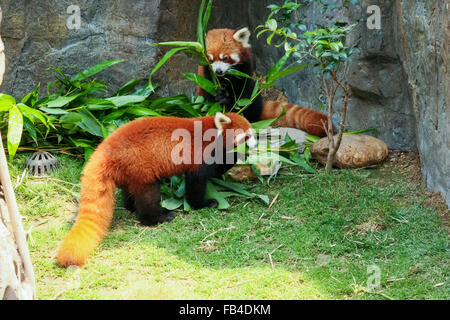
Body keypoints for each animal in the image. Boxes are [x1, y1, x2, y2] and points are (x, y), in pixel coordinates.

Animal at [55, 112, 256, 268]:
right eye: (247, 136)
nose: (254, 145)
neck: (211, 132)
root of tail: (105, 149)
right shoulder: (200, 154)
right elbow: (197, 183)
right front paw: (204, 203)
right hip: (141, 168)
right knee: (148, 197)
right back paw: (158, 217)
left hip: (127, 171)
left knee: (130, 192)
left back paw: (131, 207)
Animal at [199, 27, 332, 138]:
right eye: (210, 60)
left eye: (225, 58)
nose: (218, 71)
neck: (226, 77)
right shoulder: (207, 76)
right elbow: (211, 95)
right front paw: (221, 96)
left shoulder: (245, 71)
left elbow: (244, 92)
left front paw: (229, 99)